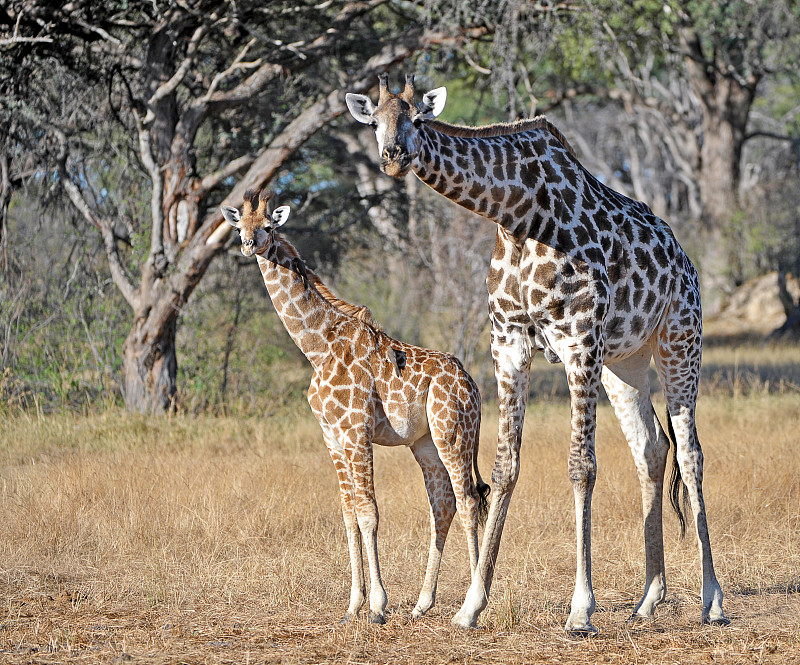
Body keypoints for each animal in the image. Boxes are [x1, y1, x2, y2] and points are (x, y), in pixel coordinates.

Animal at [222, 189, 490, 624]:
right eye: (239, 226)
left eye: (268, 227)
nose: (248, 245)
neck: (317, 348)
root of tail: (472, 384)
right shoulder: (332, 438)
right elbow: (348, 514)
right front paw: (353, 605)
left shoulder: (356, 432)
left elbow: (368, 513)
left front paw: (378, 606)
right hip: (425, 443)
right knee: (443, 505)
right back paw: (422, 604)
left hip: (454, 434)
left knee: (467, 500)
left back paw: (473, 606)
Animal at [346, 75, 728, 632]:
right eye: (374, 121)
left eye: (417, 117)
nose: (394, 154)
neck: (515, 213)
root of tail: (685, 258)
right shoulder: (508, 344)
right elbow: (504, 466)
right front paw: (471, 604)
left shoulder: (579, 341)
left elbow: (581, 465)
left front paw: (581, 608)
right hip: (624, 363)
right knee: (652, 447)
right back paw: (649, 598)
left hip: (680, 339)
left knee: (691, 452)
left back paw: (713, 600)